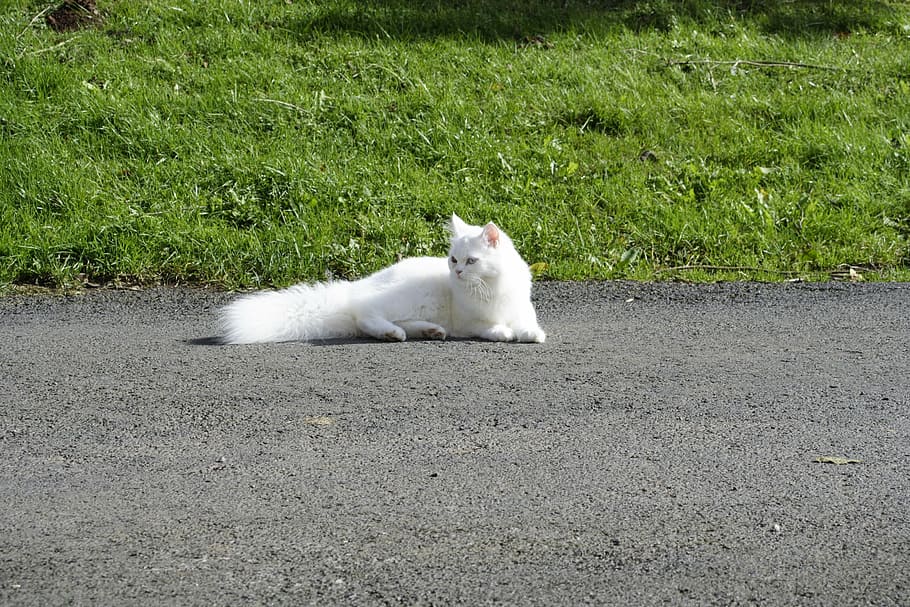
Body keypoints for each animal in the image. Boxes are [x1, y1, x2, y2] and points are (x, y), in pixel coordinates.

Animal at [219, 216, 548, 344]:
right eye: (454, 260)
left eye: (471, 261)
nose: (456, 273)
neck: (491, 287)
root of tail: (354, 287)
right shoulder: (470, 322)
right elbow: (490, 327)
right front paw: (504, 333)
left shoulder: (521, 308)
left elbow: (526, 323)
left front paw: (531, 334)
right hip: (410, 297)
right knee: (364, 315)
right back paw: (392, 333)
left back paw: (428, 331)